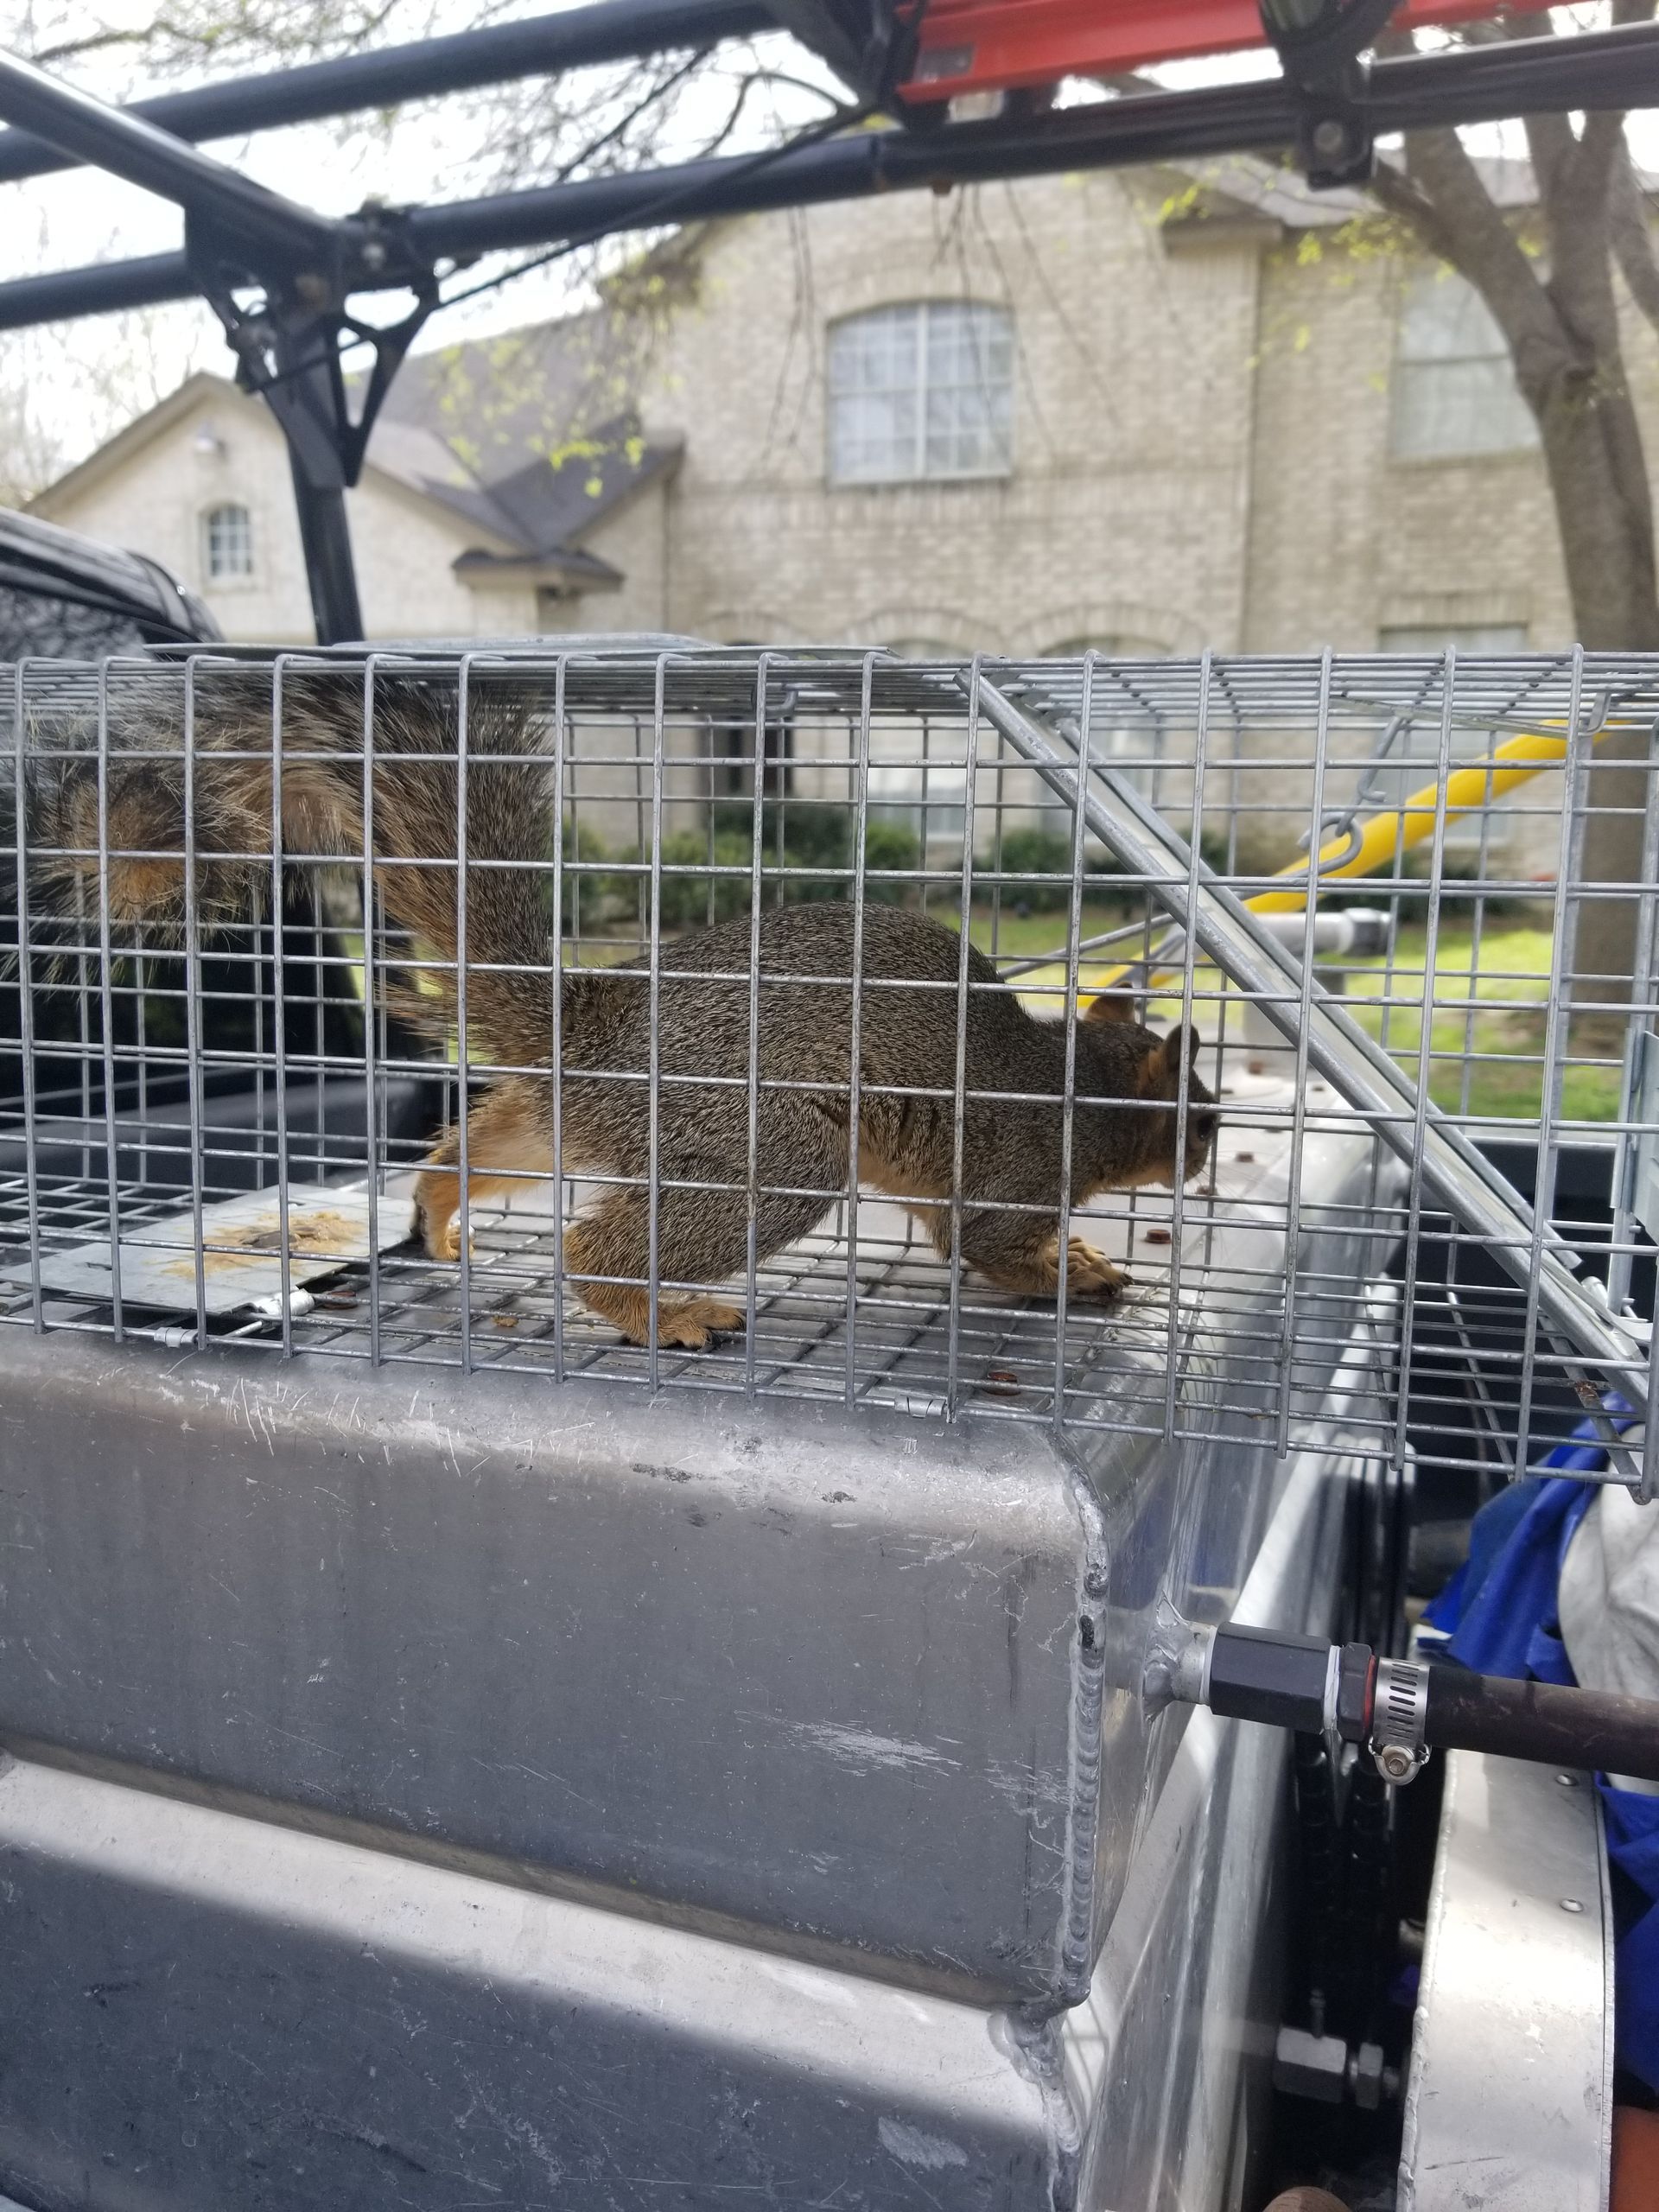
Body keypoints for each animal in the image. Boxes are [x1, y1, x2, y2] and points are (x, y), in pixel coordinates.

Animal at [30, 670, 1218, 1349]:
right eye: (1200, 1113)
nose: (1209, 1152)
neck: (1076, 1085)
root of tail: (589, 1034)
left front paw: (1081, 1258)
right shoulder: (1012, 1174)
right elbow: (990, 1246)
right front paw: (1074, 1274)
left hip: (565, 1122)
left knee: (476, 1150)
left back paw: (444, 1215)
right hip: (764, 1154)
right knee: (591, 1249)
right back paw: (665, 1313)